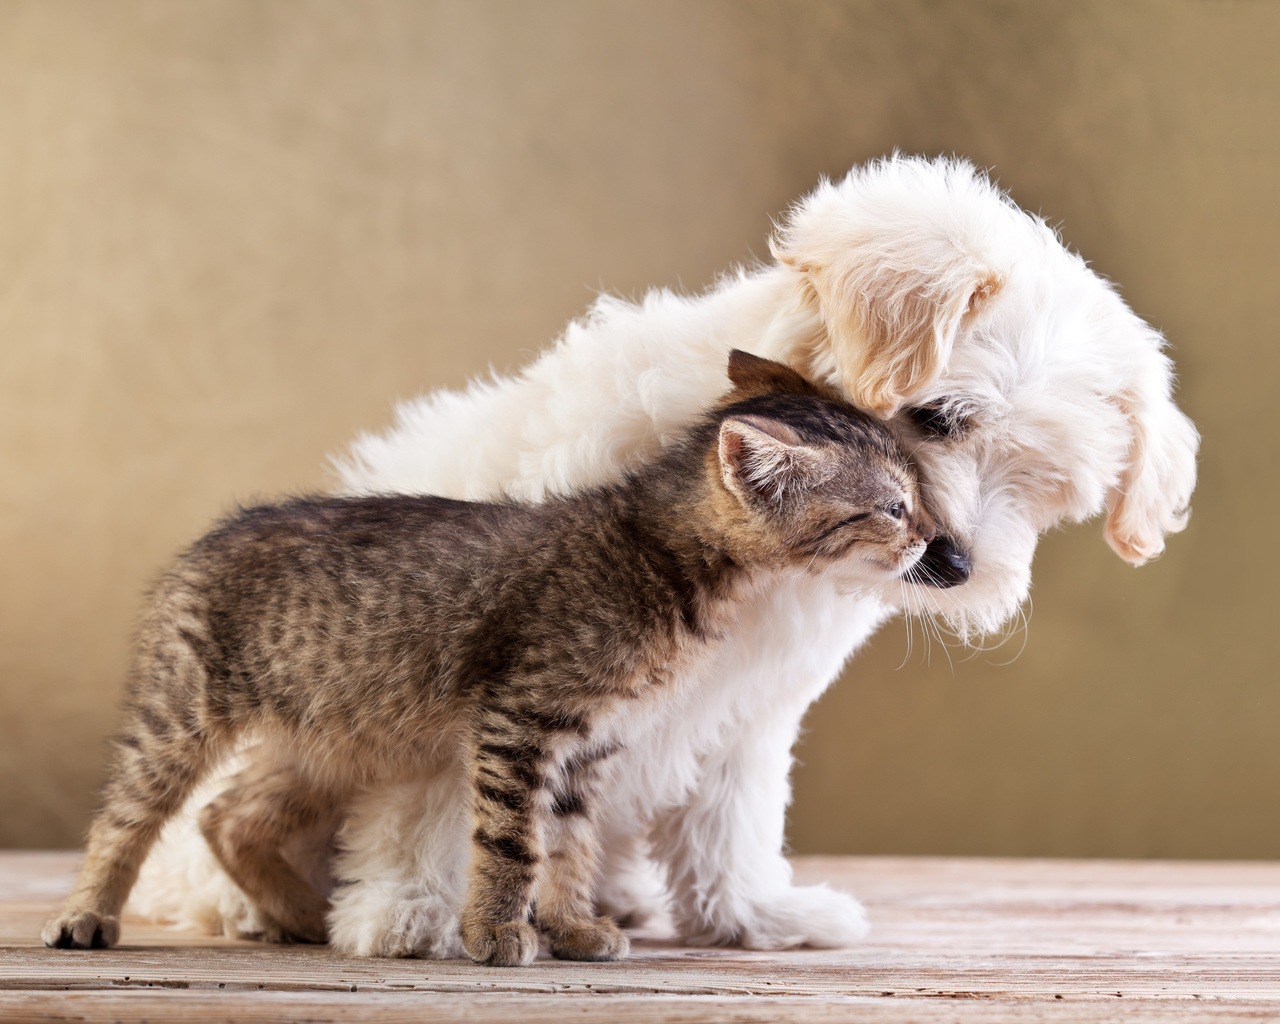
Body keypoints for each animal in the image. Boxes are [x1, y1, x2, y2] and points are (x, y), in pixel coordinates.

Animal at [45, 348, 936, 962]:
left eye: (915, 497)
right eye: (893, 507)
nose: (934, 541)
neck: (662, 555)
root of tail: (214, 533)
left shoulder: (590, 745)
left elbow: (570, 846)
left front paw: (574, 926)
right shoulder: (521, 719)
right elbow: (513, 841)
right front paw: (498, 932)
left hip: (331, 736)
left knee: (228, 815)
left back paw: (303, 917)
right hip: (181, 712)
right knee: (128, 814)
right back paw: (87, 914)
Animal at [129, 156, 1198, 957]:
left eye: (1044, 488)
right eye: (938, 418)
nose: (960, 566)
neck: (749, 550)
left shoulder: (750, 702)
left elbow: (731, 811)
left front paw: (752, 914)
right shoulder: (485, 658)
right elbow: (443, 796)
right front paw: (413, 910)